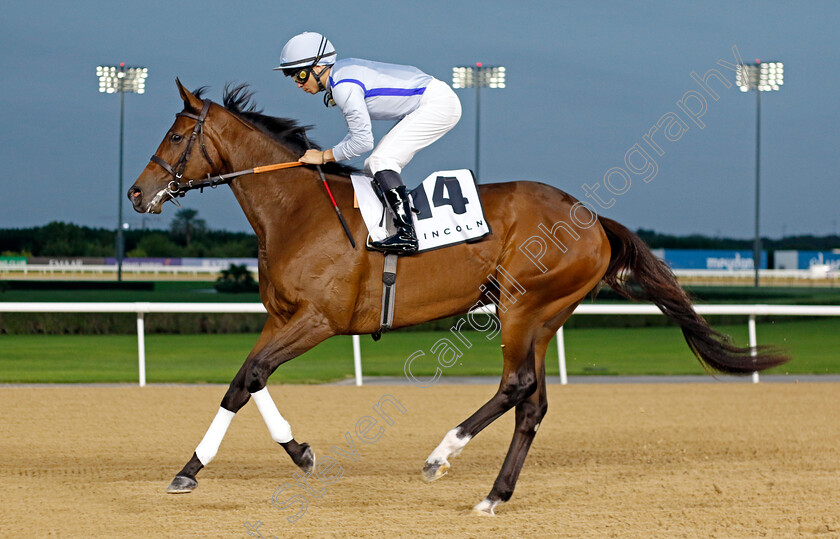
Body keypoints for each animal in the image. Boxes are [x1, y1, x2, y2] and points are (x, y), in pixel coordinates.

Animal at [128, 79, 784, 516]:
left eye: (177, 134)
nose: (137, 193)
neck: (297, 210)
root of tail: (594, 219)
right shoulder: (281, 317)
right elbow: (246, 380)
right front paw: (266, 458)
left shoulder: (319, 320)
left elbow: (252, 375)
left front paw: (213, 468)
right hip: (545, 316)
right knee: (532, 404)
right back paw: (494, 495)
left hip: (522, 306)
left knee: (516, 386)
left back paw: (441, 456)